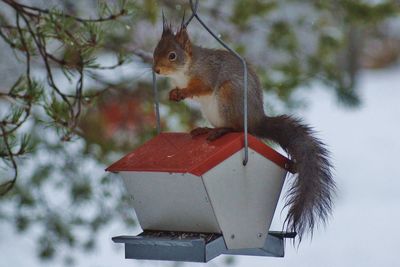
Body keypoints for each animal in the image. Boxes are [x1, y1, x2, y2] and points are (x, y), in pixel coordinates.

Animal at [152, 19, 334, 241]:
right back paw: (204, 129)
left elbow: (202, 87)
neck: (184, 71)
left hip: (229, 95)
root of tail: (256, 121)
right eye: (155, 51)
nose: (156, 70)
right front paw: (173, 93)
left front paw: (184, 92)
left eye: (172, 55)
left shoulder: (207, 74)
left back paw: (219, 131)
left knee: (236, 128)